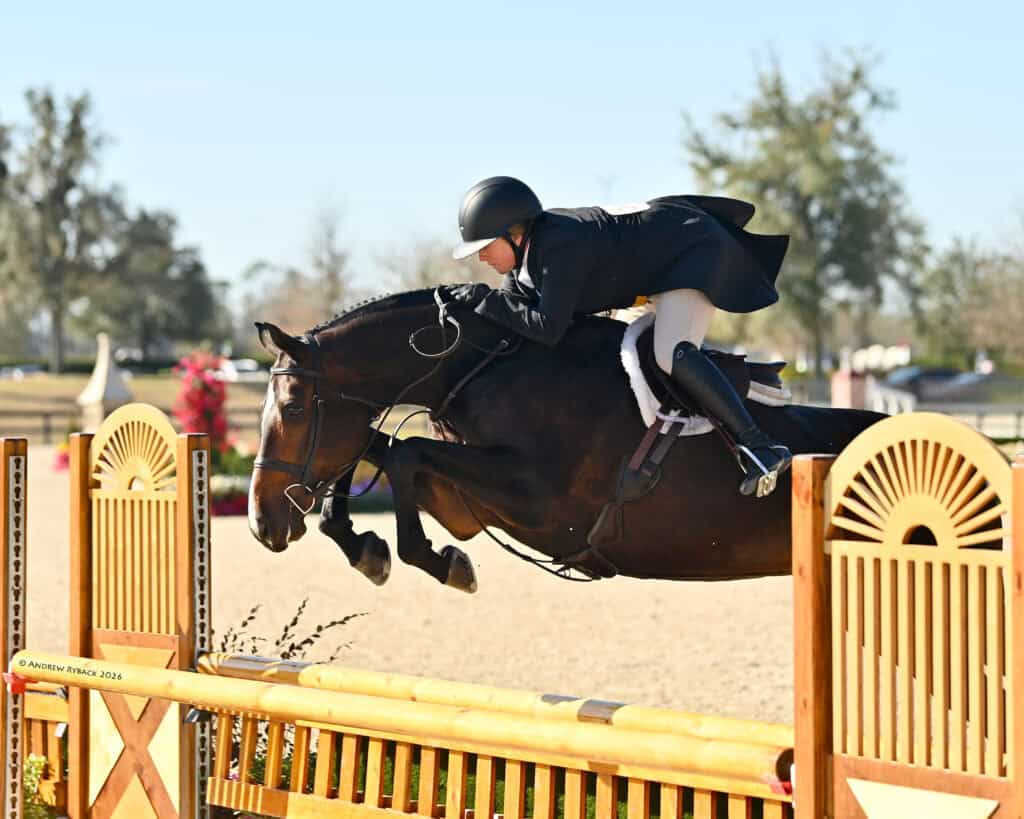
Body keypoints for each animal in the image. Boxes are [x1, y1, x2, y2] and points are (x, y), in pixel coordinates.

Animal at [249, 287, 884, 592]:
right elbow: (375, 448)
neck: (478, 367)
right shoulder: (466, 503)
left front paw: (435, 561)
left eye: (295, 408)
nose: (262, 525)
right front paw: (365, 549)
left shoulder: (543, 504)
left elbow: (404, 452)